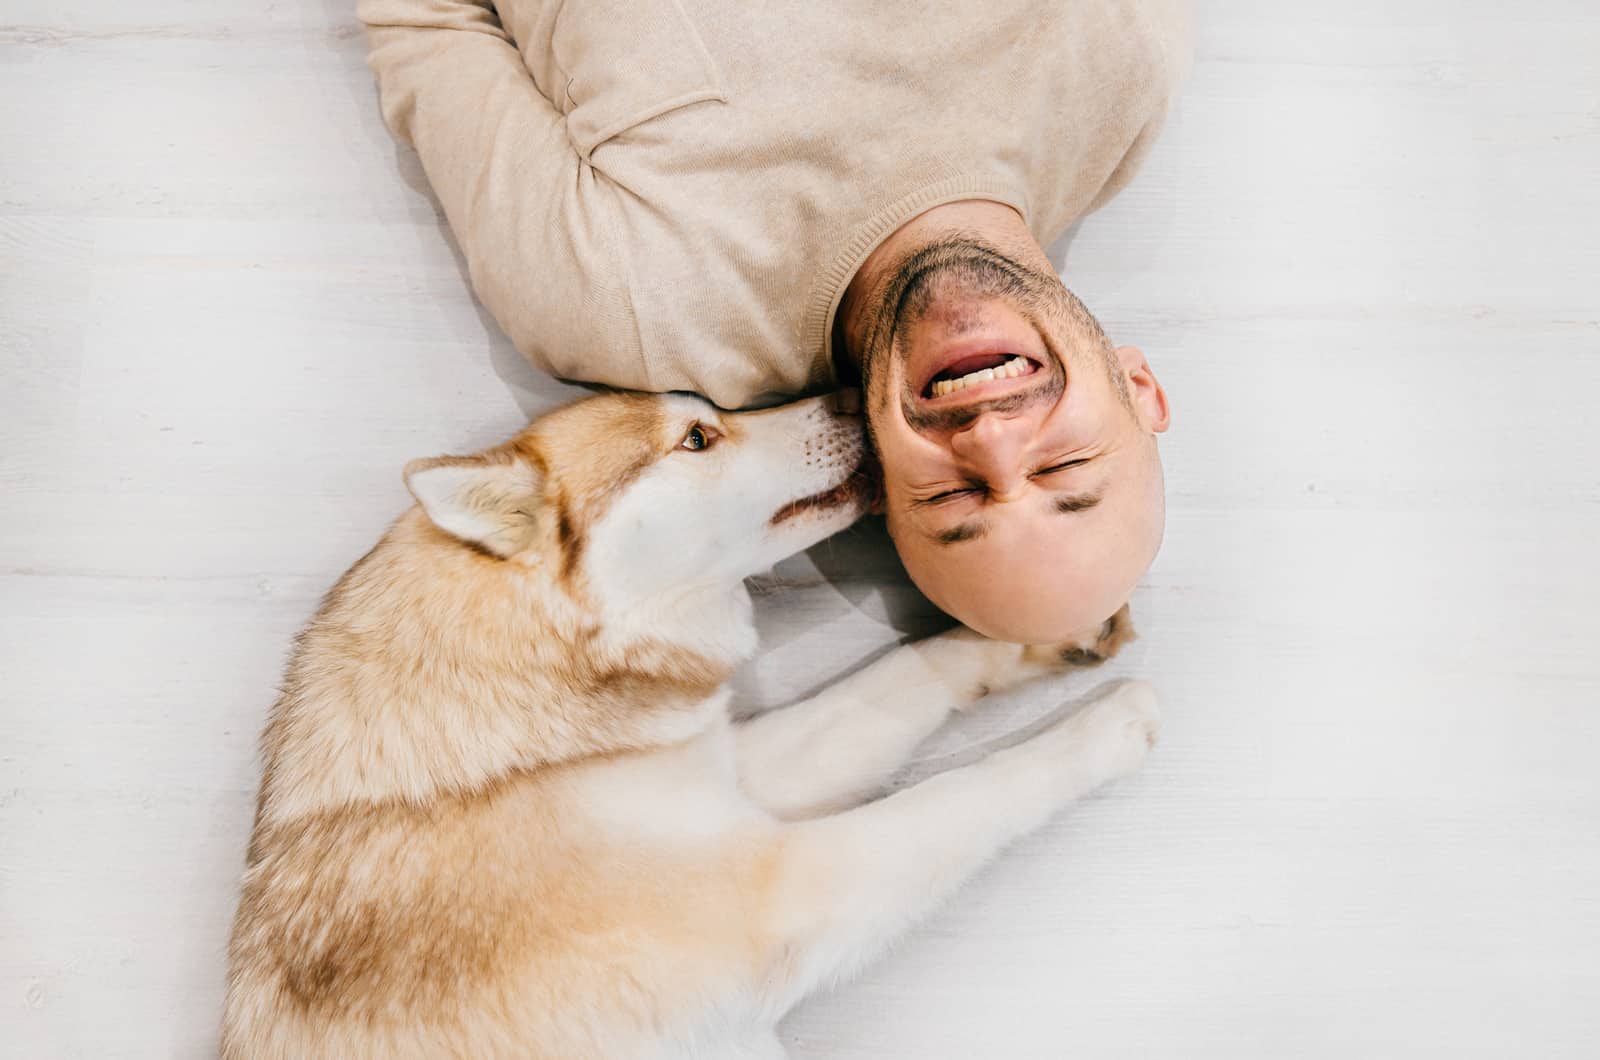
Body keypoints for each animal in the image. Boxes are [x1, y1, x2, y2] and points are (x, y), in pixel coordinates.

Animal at [219, 392, 1158, 1060]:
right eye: (698, 438)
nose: (850, 386)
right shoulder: (783, 889)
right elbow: (967, 790)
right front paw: (1108, 731)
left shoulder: (726, 768)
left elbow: (906, 674)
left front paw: (1030, 637)